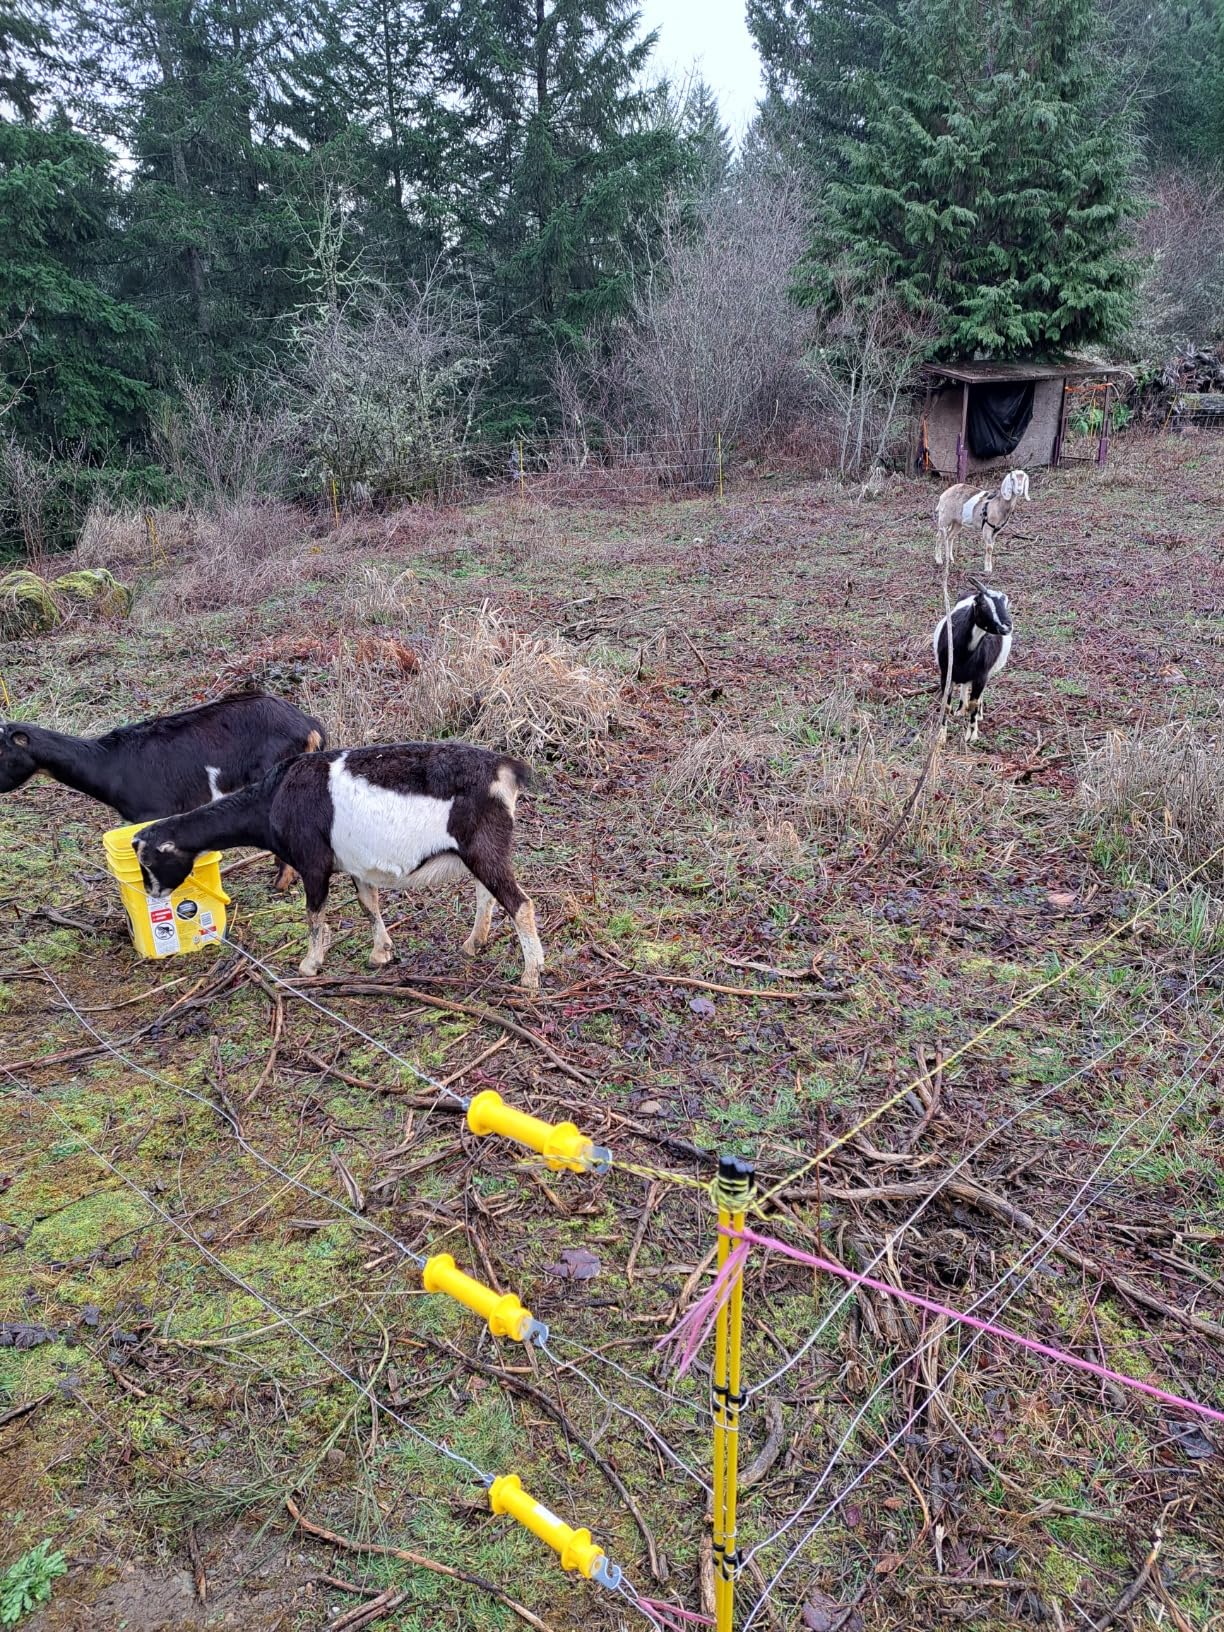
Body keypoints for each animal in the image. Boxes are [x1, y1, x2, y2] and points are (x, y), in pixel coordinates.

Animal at [132, 742, 545, 988]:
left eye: (149, 860)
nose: (152, 893)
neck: (272, 797)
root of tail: (504, 769)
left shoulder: (313, 863)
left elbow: (314, 914)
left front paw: (309, 964)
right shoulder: (356, 867)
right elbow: (368, 905)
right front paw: (381, 953)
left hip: (482, 848)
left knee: (520, 903)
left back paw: (530, 975)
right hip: (478, 852)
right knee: (487, 895)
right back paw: (474, 944)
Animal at [932, 581, 1014, 745]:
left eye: (1005, 603)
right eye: (982, 604)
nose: (1007, 626)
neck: (964, 653)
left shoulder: (981, 676)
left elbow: (974, 704)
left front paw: (972, 735)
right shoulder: (946, 673)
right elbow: (946, 703)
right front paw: (941, 736)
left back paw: (978, 714)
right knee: (964, 685)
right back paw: (960, 710)